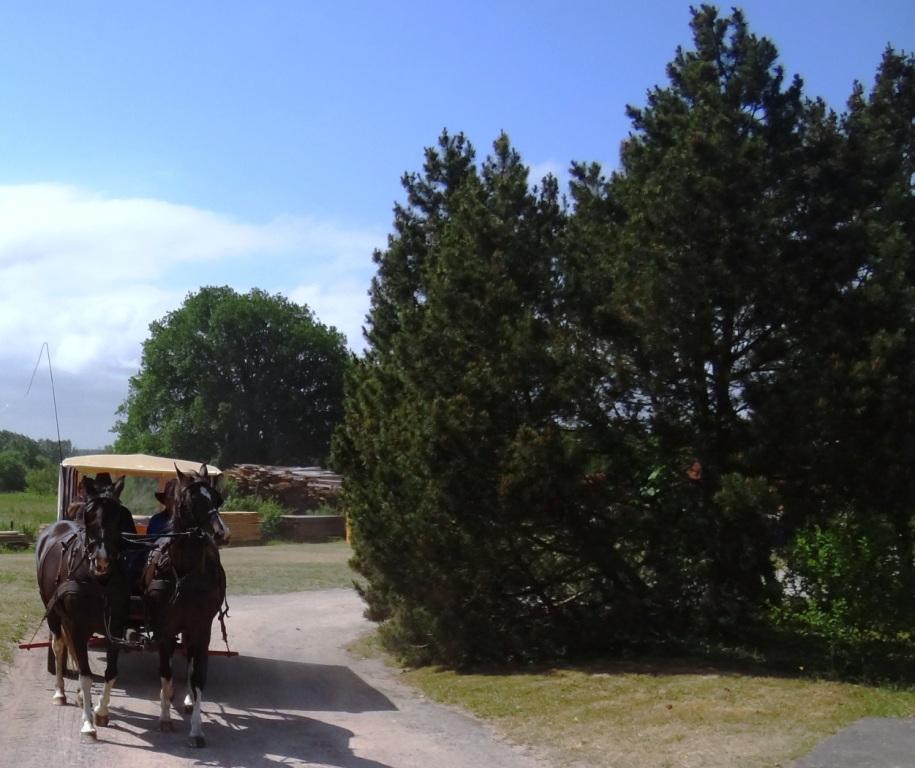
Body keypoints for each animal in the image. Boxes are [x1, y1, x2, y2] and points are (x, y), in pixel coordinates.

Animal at [35, 476, 131, 740]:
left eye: (119, 516)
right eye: (89, 516)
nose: (102, 561)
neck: (98, 581)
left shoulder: (115, 626)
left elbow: (111, 672)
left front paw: (101, 711)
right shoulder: (76, 625)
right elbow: (86, 676)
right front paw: (88, 723)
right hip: (53, 611)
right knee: (59, 646)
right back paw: (60, 693)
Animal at [143, 464, 231, 748]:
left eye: (216, 498)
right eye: (192, 500)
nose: (221, 533)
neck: (184, 571)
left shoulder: (202, 628)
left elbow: (198, 675)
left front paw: (196, 730)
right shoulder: (164, 627)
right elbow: (165, 670)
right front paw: (164, 717)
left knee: (190, 660)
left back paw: (188, 700)